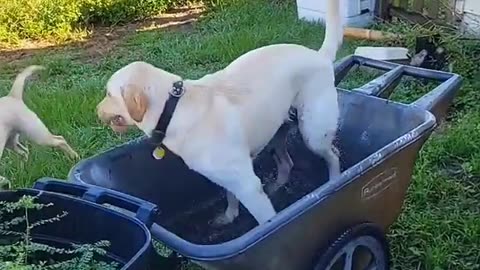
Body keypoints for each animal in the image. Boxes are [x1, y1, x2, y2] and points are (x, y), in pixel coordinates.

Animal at [97, 0, 344, 227]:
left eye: (108, 94)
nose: (96, 110)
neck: (174, 107)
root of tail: (318, 55)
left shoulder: (247, 185)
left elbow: (266, 221)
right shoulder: (231, 176)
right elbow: (230, 196)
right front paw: (229, 216)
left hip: (314, 133)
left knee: (333, 154)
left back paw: (334, 181)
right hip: (276, 132)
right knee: (286, 164)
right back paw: (276, 187)